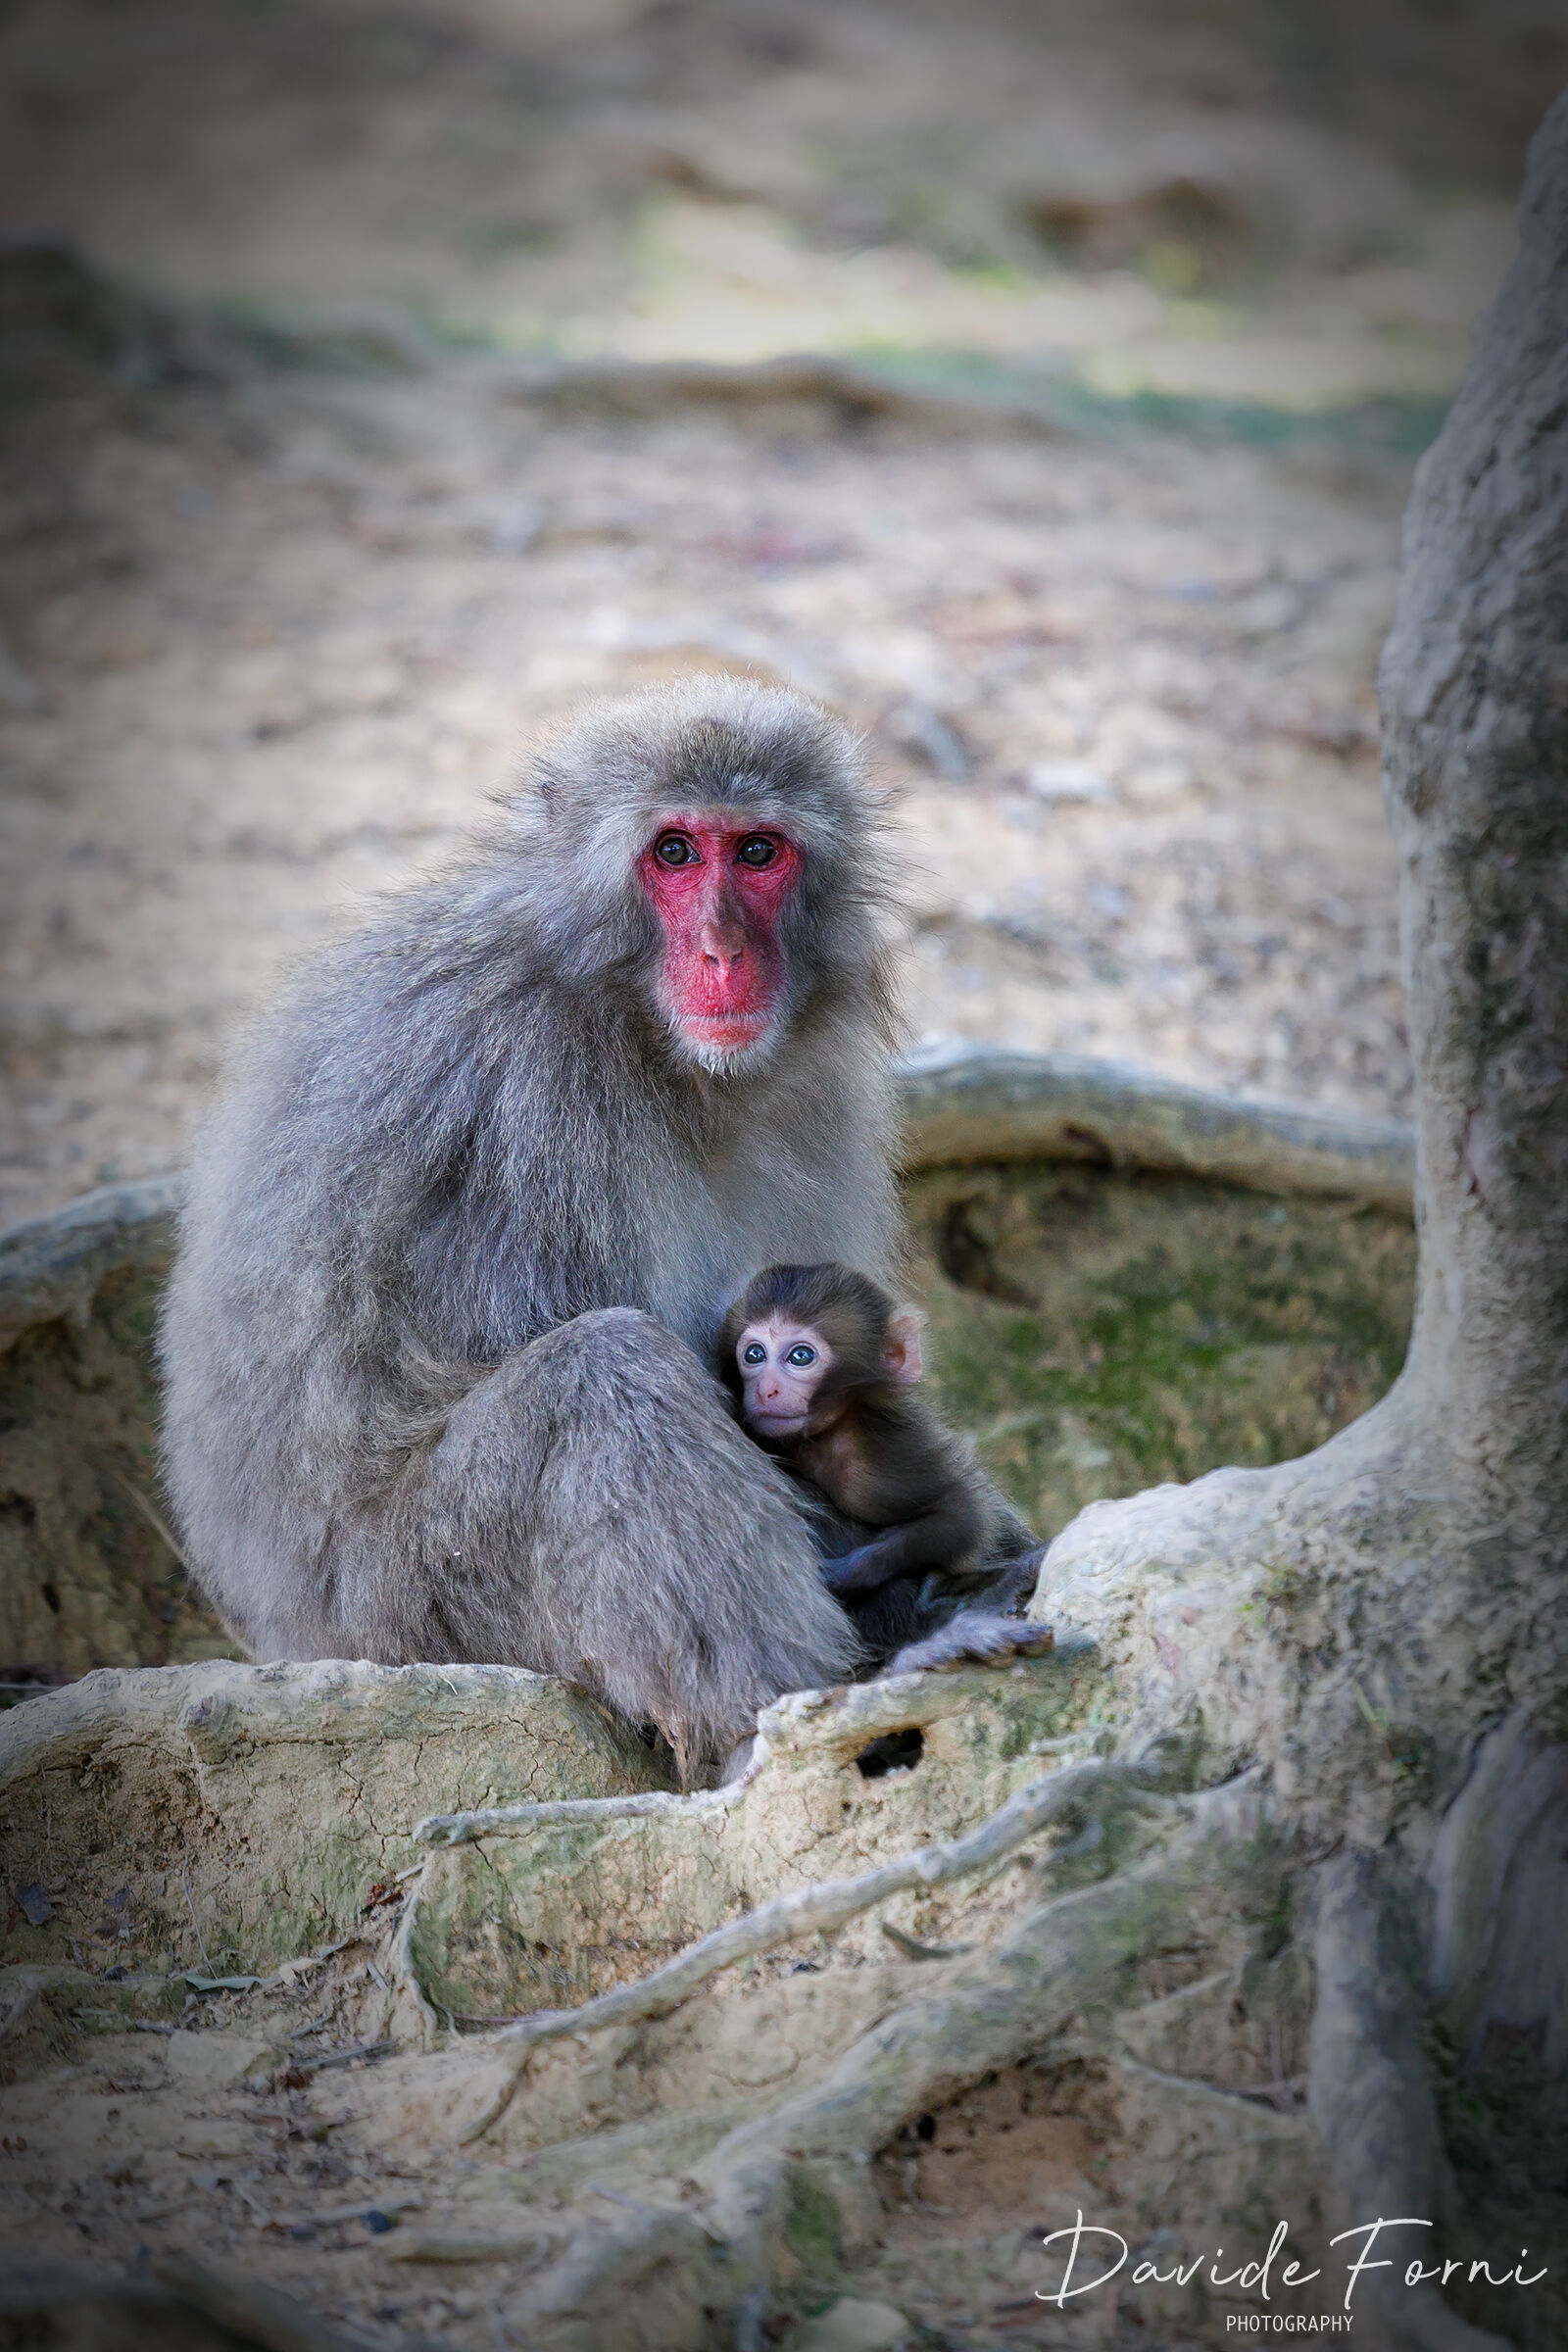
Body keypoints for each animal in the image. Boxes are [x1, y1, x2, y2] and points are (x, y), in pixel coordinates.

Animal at [719, 1261, 1047, 1669]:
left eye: (800, 1357)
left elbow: (961, 1516)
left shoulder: (874, 1464)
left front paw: (843, 1575)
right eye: (754, 1354)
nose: (766, 1391)